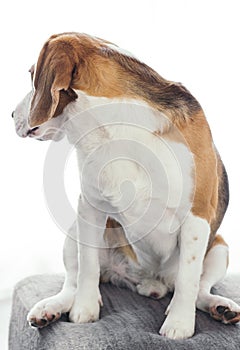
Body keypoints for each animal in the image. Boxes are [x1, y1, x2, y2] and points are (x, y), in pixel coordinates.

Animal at [12, 32, 240, 340]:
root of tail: (148, 281)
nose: (11, 115)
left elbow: (188, 279)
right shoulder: (89, 206)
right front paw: (84, 311)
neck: (114, 126)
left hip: (219, 247)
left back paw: (220, 307)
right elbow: (87, 268)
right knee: (73, 281)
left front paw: (179, 325)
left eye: (31, 76)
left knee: (200, 288)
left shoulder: (198, 215)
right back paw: (50, 308)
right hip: (74, 233)